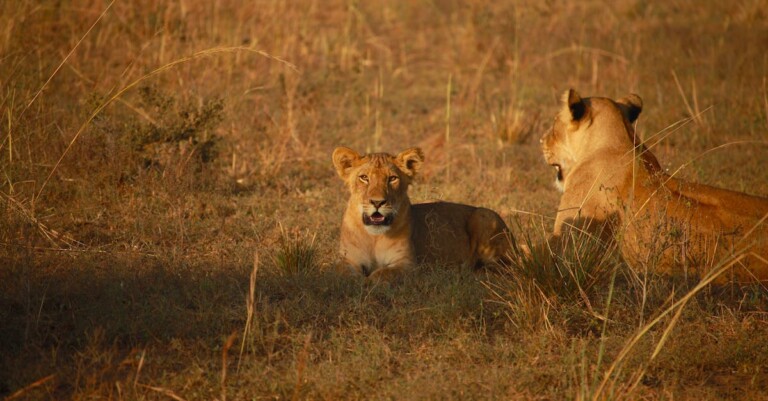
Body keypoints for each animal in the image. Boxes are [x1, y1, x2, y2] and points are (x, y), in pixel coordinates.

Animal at [332, 145, 516, 282]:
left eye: (392, 178)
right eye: (364, 177)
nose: (377, 202)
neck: (374, 237)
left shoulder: (407, 264)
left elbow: (383, 273)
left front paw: (368, 281)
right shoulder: (349, 259)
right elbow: (342, 272)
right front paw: (356, 282)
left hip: (484, 216)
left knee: (504, 269)